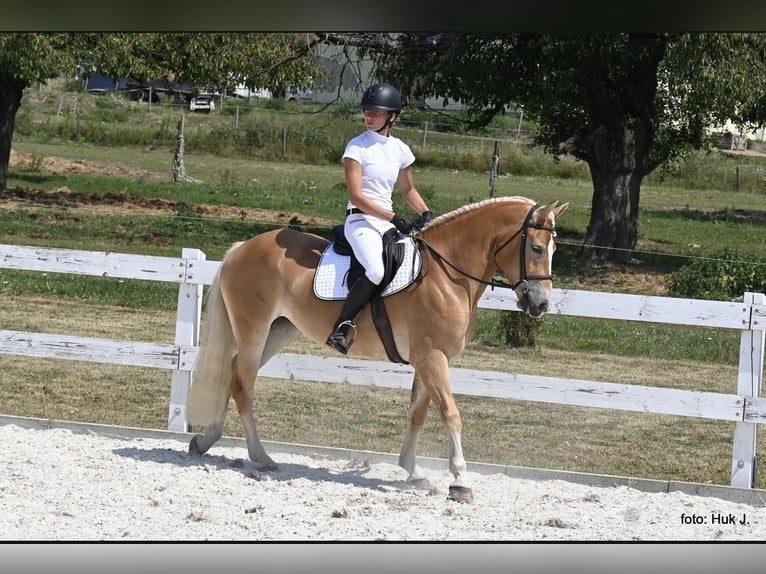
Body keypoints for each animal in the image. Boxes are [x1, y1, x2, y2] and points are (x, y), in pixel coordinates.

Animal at [186, 196, 568, 502]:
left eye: (553, 251)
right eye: (536, 248)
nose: (541, 305)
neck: (448, 276)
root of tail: (242, 248)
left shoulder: (427, 360)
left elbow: (418, 414)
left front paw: (414, 473)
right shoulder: (433, 358)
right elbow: (451, 414)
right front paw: (460, 481)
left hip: (279, 331)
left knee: (232, 374)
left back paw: (205, 442)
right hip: (254, 331)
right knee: (243, 385)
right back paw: (261, 456)